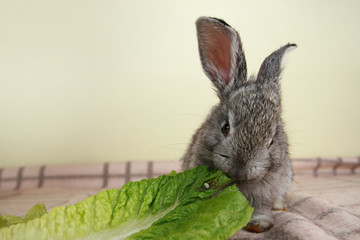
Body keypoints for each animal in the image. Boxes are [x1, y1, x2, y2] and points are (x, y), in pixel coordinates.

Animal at [183, 16, 296, 232]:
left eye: (271, 140)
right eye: (225, 127)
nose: (239, 167)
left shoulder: (267, 191)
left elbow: (261, 208)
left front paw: (258, 225)